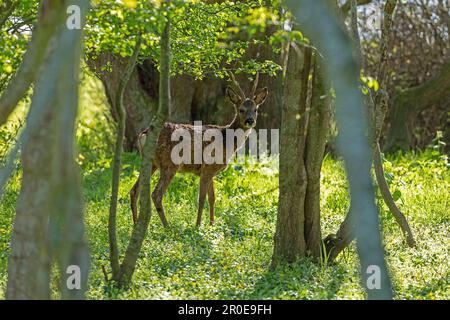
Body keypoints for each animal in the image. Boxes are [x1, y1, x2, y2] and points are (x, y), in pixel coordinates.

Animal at [129, 72, 268, 228]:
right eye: (241, 110)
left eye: (256, 109)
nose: (250, 121)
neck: (227, 141)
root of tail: (144, 134)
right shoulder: (207, 169)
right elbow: (201, 199)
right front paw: (198, 226)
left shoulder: (210, 171)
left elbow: (212, 198)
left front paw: (212, 225)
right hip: (169, 163)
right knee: (156, 194)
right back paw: (167, 227)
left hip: (150, 163)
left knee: (134, 190)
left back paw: (135, 224)